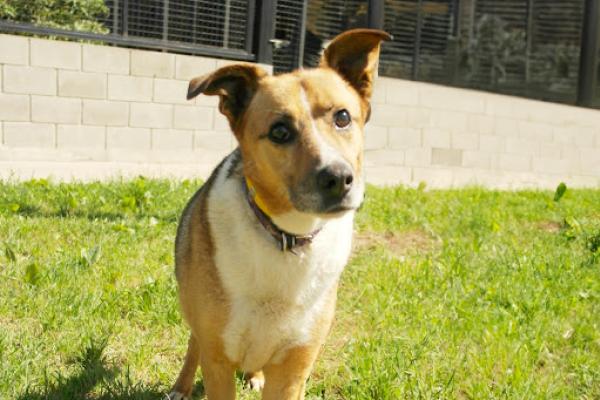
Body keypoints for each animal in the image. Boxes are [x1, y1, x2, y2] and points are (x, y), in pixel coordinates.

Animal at [171, 28, 392, 400]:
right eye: (279, 131)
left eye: (343, 117)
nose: (338, 178)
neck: (287, 236)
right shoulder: (218, 360)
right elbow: (204, 349)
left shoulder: (294, 366)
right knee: (193, 343)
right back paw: (181, 386)